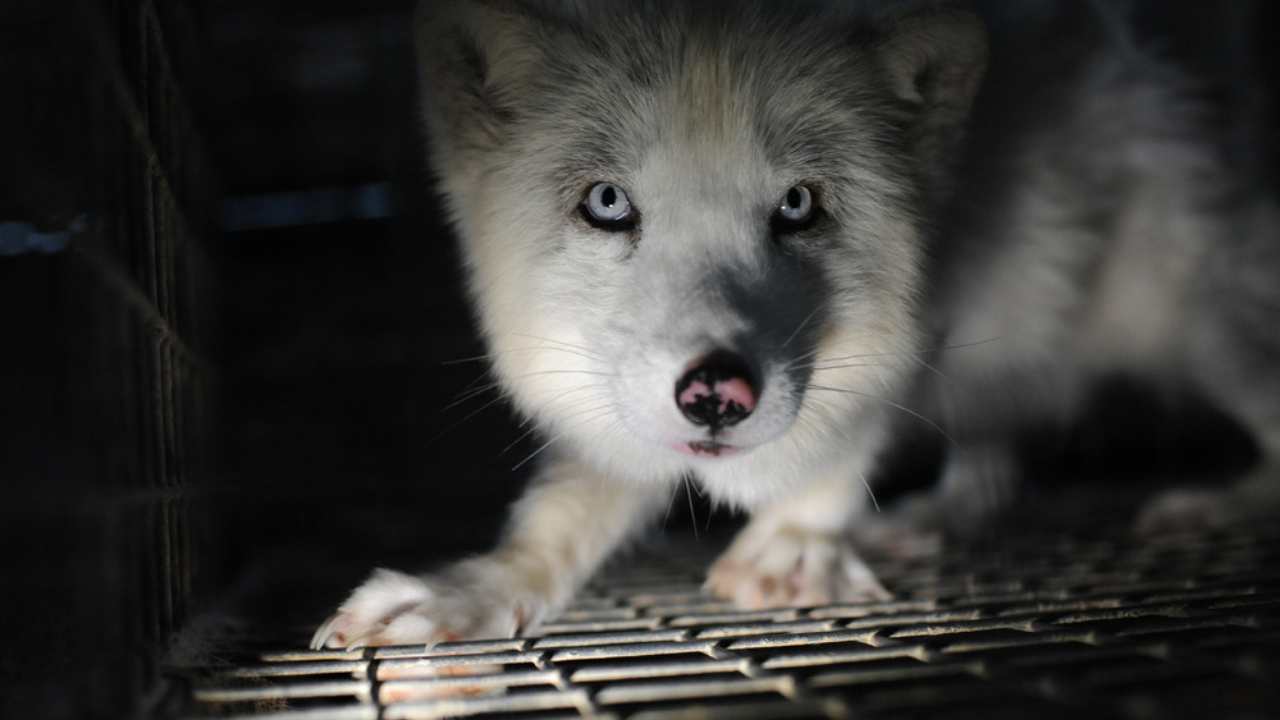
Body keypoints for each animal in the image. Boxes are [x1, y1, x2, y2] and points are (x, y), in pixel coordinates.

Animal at [312, 0, 1280, 648]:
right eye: (608, 202)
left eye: (798, 205)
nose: (716, 393)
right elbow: (560, 517)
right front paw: (467, 591)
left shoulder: (926, 316)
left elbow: (851, 435)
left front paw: (797, 541)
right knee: (994, 463)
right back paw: (930, 520)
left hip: (1204, 329)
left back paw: (1216, 503)